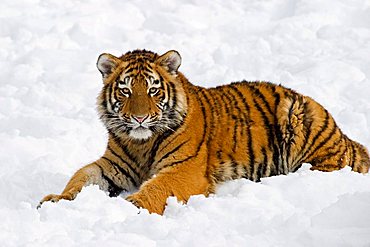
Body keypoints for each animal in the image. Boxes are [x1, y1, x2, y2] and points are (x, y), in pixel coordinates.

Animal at [37, 48, 370, 214]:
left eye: (153, 90)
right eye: (126, 90)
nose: (140, 118)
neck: (141, 143)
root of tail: (347, 138)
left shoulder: (184, 170)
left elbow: (158, 187)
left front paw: (131, 206)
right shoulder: (113, 166)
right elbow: (81, 178)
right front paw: (56, 200)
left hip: (300, 116)